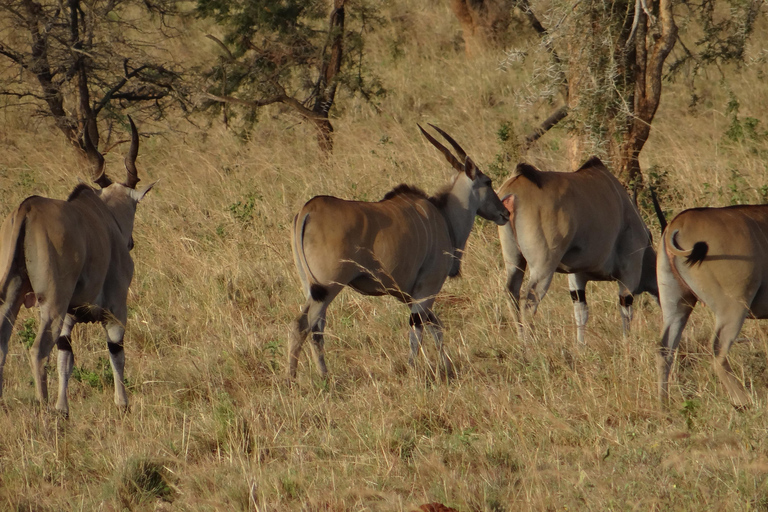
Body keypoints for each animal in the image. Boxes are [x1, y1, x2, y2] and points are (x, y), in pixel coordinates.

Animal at [0, 117, 154, 416]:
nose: (130, 242)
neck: (103, 217)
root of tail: (27, 209)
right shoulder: (116, 308)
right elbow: (116, 352)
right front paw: (122, 404)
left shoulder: (70, 317)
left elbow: (66, 358)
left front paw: (64, 409)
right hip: (52, 304)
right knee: (38, 351)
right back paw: (43, 409)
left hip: (13, 298)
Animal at [288, 124, 510, 380]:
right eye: (488, 181)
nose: (505, 213)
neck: (443, 216)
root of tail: (308, 209)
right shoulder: (427, 288)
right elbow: (418, 329)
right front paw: (414, 369)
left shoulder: (412, 294)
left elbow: (435, 327)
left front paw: (446, 366)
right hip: (329, 287)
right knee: (305, 325)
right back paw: (305, 377)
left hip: (312, 288)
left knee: (313, 326)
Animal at [498, 158, 660, 344]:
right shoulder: (628, 275)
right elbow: (626, 311)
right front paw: (627, 345)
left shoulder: (576, 276)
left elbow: (581, 312)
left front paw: (580, 346)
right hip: (544, 267)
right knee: (529, 301)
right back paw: (529, 346)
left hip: (514, 260)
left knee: (511, 293)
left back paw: (520, 343)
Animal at [656, 204, 768, 408]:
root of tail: (679, 222)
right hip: (733, 307)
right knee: (718, 351)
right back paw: (744, 402)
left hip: (677, 306)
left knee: (664, 350)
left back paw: (663, 405)